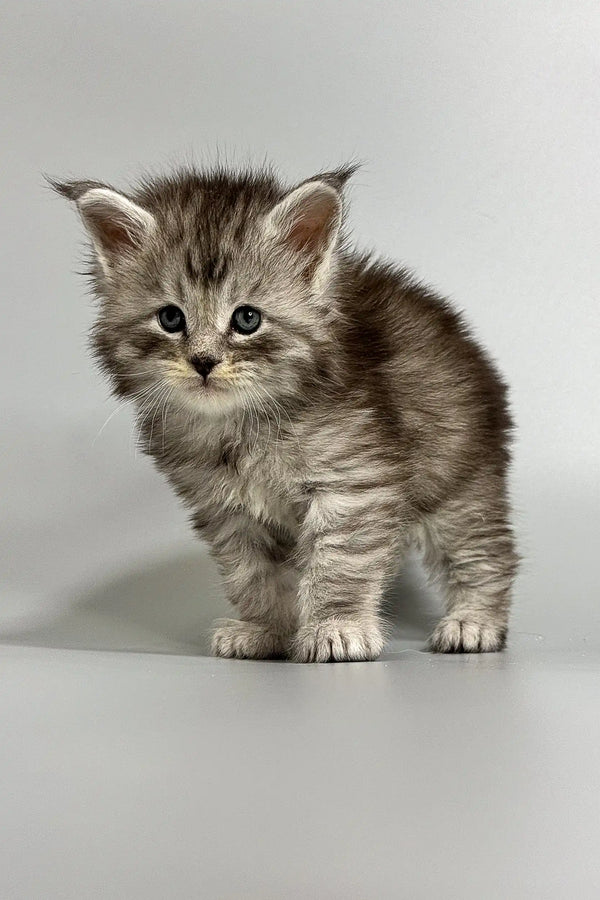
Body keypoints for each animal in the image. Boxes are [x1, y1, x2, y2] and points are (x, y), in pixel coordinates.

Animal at [54, 163, 516, 660]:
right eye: (171, 318)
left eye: (247, 319)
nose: (203, 361)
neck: (243, 426)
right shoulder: (228, 507)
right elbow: (253, 575)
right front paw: (266, 631)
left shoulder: (352, 485)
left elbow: (340, 564)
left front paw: (337, 627)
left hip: (459, 481)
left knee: (484, 553)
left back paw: (474, 622)